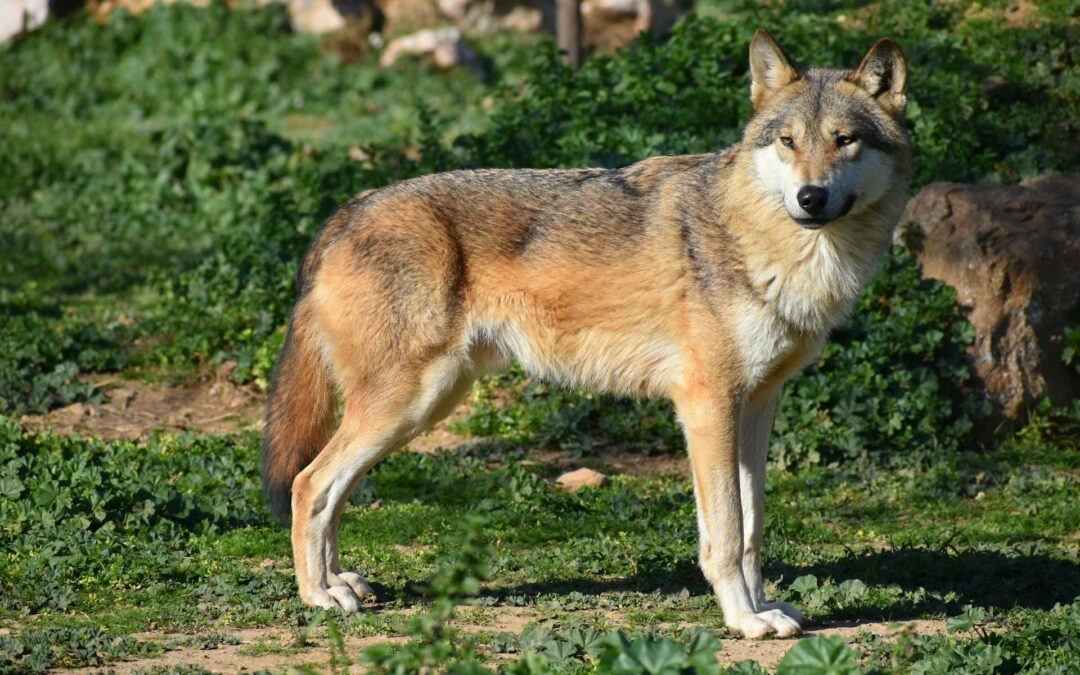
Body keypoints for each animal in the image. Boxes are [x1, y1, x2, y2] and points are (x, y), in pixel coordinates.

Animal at [262, 28, 910, 638]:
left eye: (844, 140)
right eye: (788, 141)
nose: (810, 197)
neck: (764, 244)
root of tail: (349, 209)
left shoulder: (755, 406)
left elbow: (751, 530)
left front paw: (766, 607)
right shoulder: (707, 406)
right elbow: (725, 535)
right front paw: (743, 621)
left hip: (420, 408)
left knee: (331, 490)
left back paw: (339, 582)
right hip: (408, 404)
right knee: (308, 483)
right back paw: (318, 596)